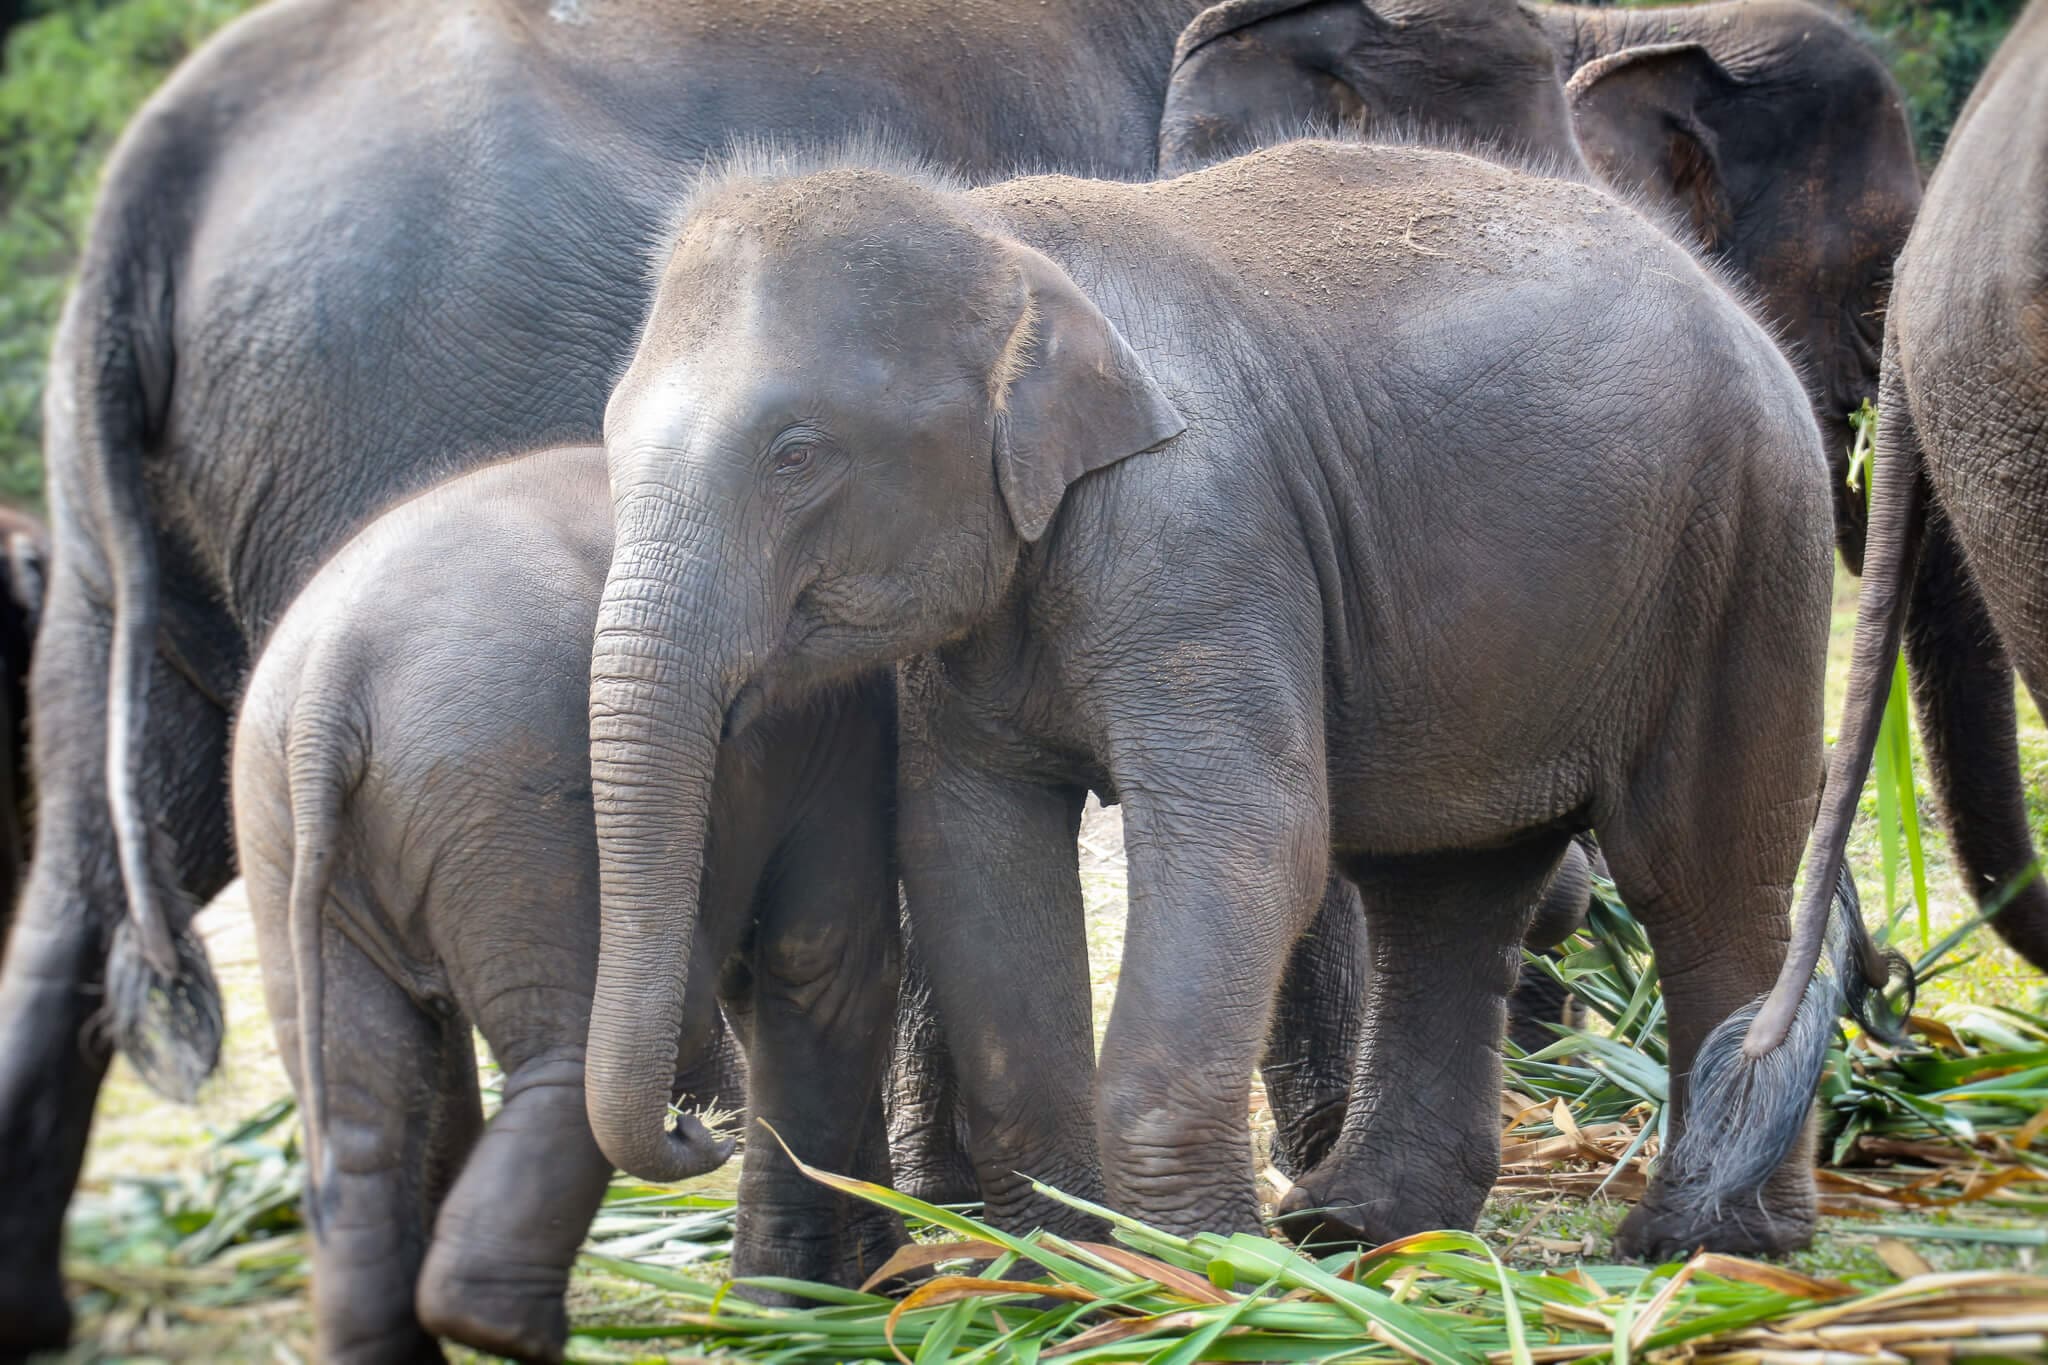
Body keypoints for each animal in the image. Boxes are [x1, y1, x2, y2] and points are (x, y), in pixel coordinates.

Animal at [232, 445, 900, 1363]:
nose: (700, 1128)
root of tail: (334, 676)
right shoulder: (837, 726)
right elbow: (823, 965)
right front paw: (793, 1318)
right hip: (516, 797)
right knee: (574, 1050)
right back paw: (509, 1327)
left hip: (282, 830)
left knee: (362, 1101)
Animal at [588, 137, 1888, 1258]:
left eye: (795, 453)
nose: (693, 1120)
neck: (997, 234)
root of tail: (1737, 308)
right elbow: (967, 840)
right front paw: (1072, 1262)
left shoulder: (1201, 532)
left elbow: (1244, 838)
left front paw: (1202, 1266)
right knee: (1443, 891)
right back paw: (1360, 1224)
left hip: (1746, 546)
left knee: (1700, 871)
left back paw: (1705, 1242)